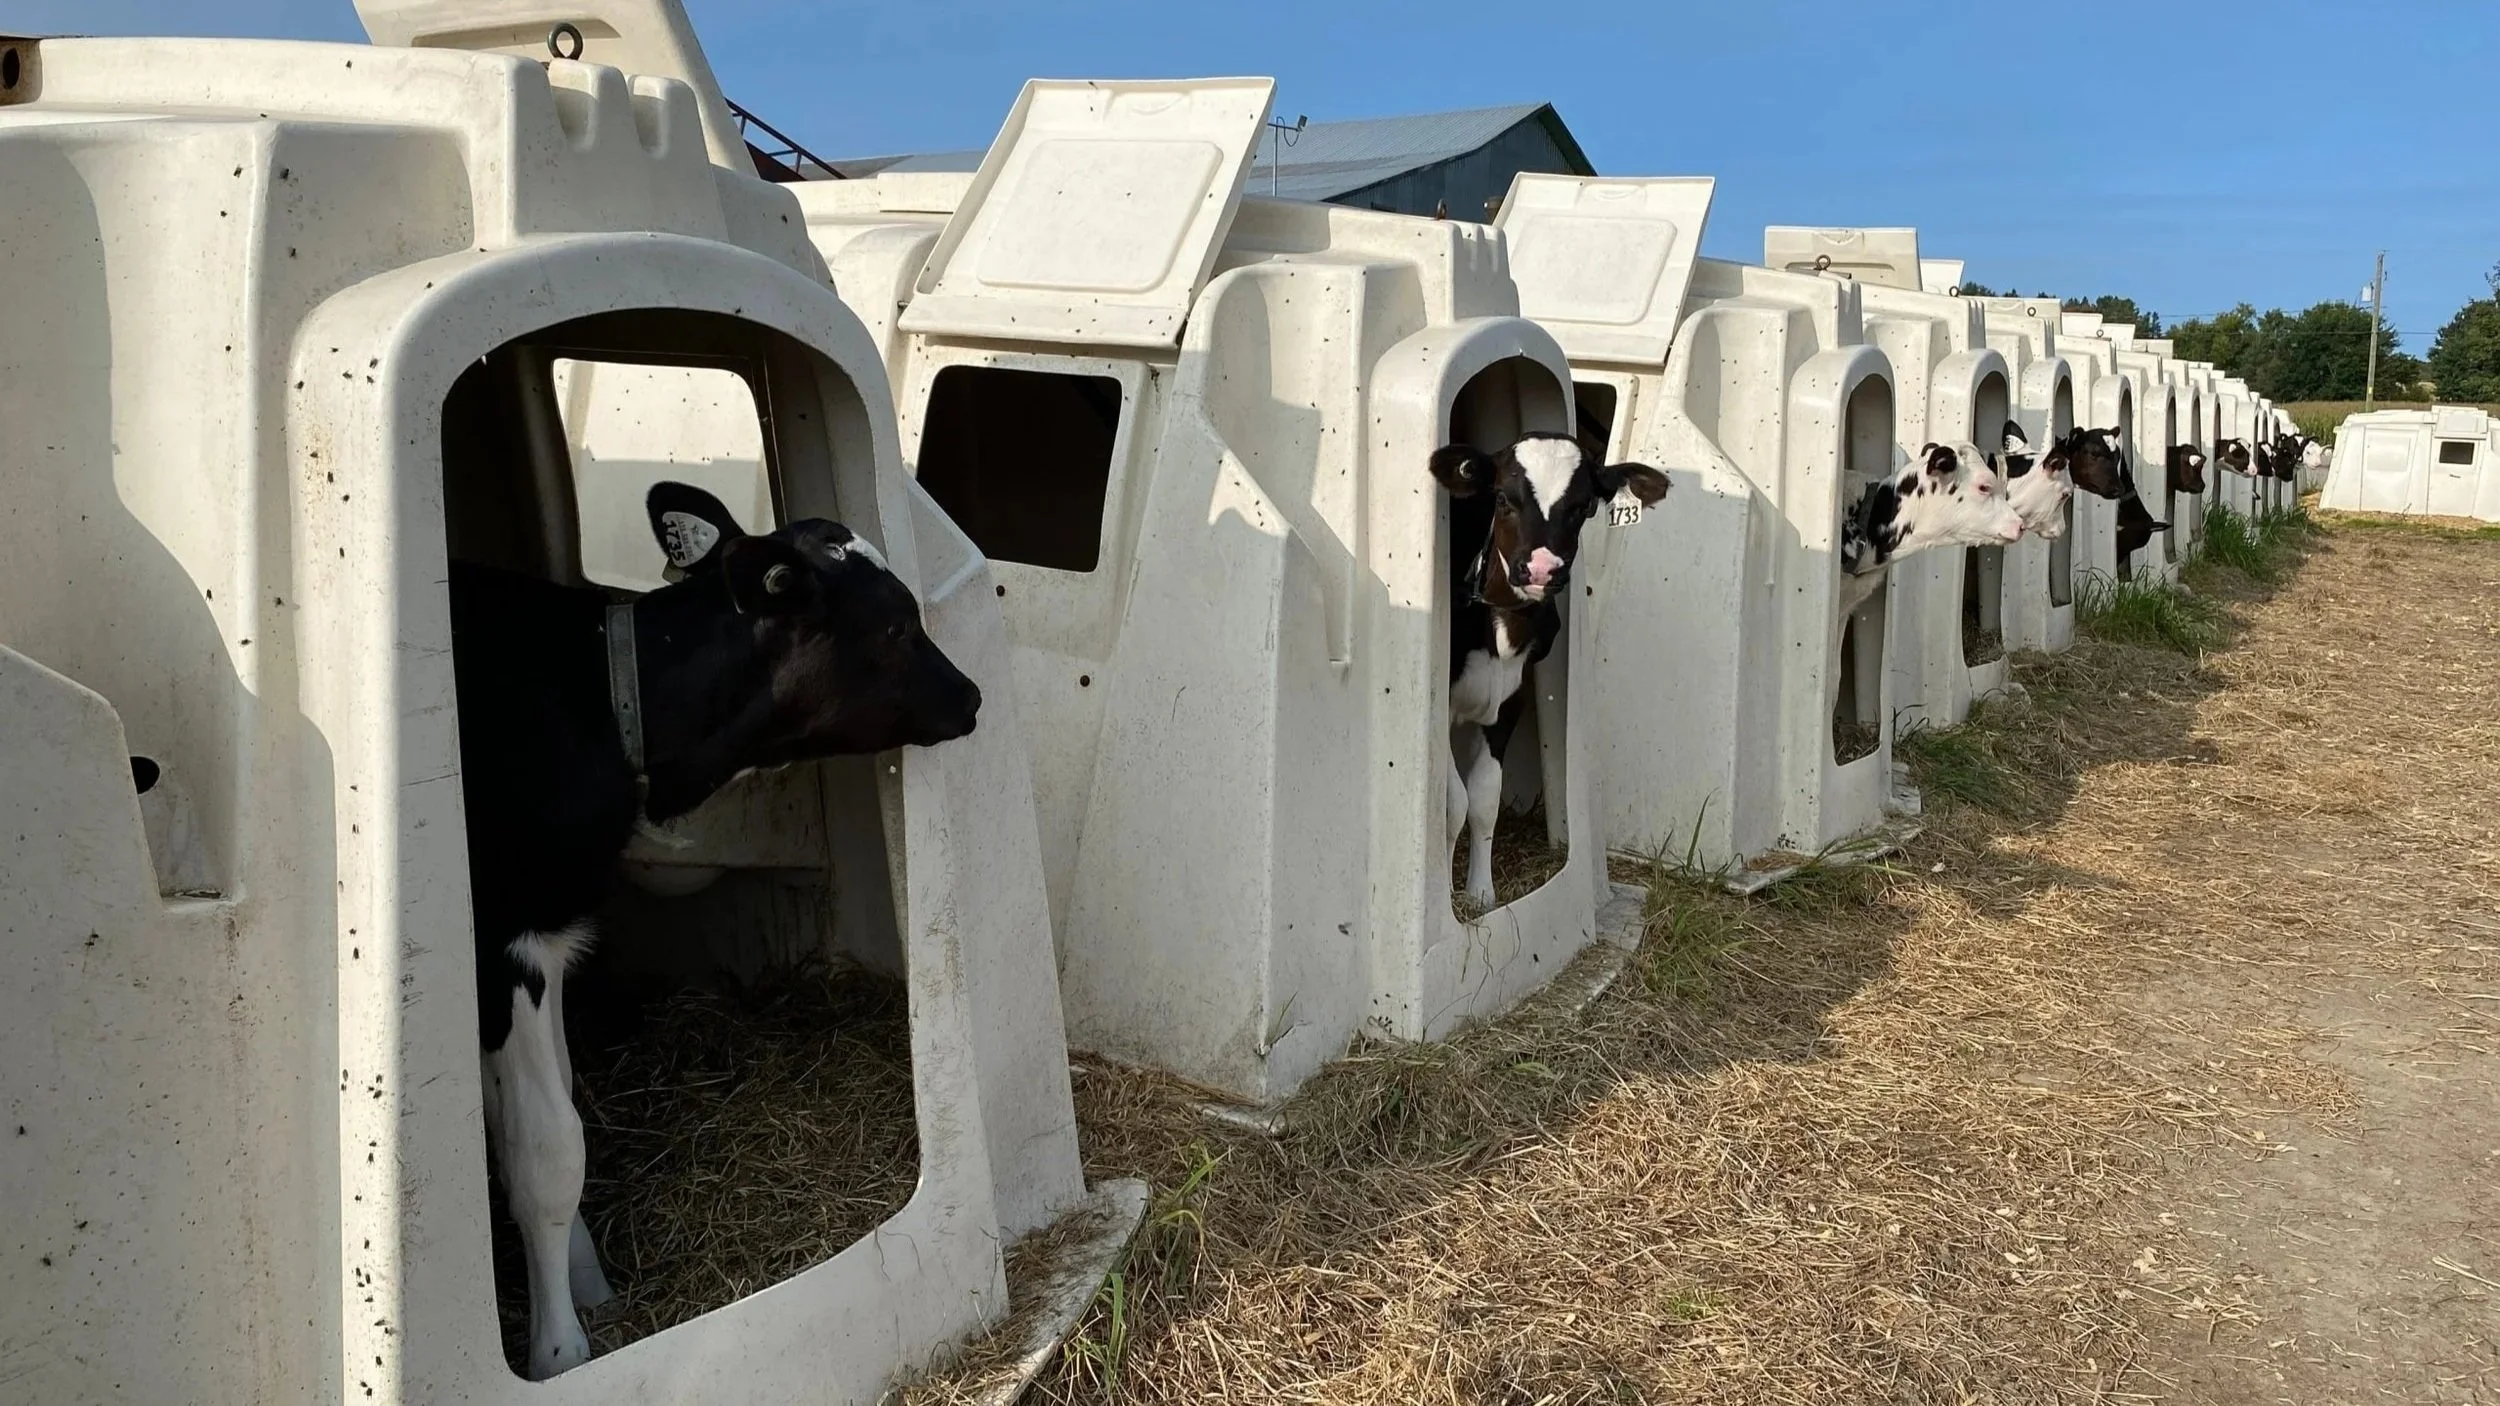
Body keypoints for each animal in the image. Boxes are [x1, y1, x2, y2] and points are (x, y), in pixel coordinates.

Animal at [453, 481, 981, 1378]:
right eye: (894, 627)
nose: (974, 695)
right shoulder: (509, 942)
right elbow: (546, 1150)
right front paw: (560, 1350)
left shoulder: (550, 936)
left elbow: (544, 1107)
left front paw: (589, 1283)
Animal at [1431, 432, 1669, 911]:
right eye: (1502, 498)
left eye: (1585, 506)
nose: (1541, 569)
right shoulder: (1442, 702)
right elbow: (1453, 801)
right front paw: (1445, 893)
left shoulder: (1512, 698)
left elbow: (1484, 798)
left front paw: (1481, 893)